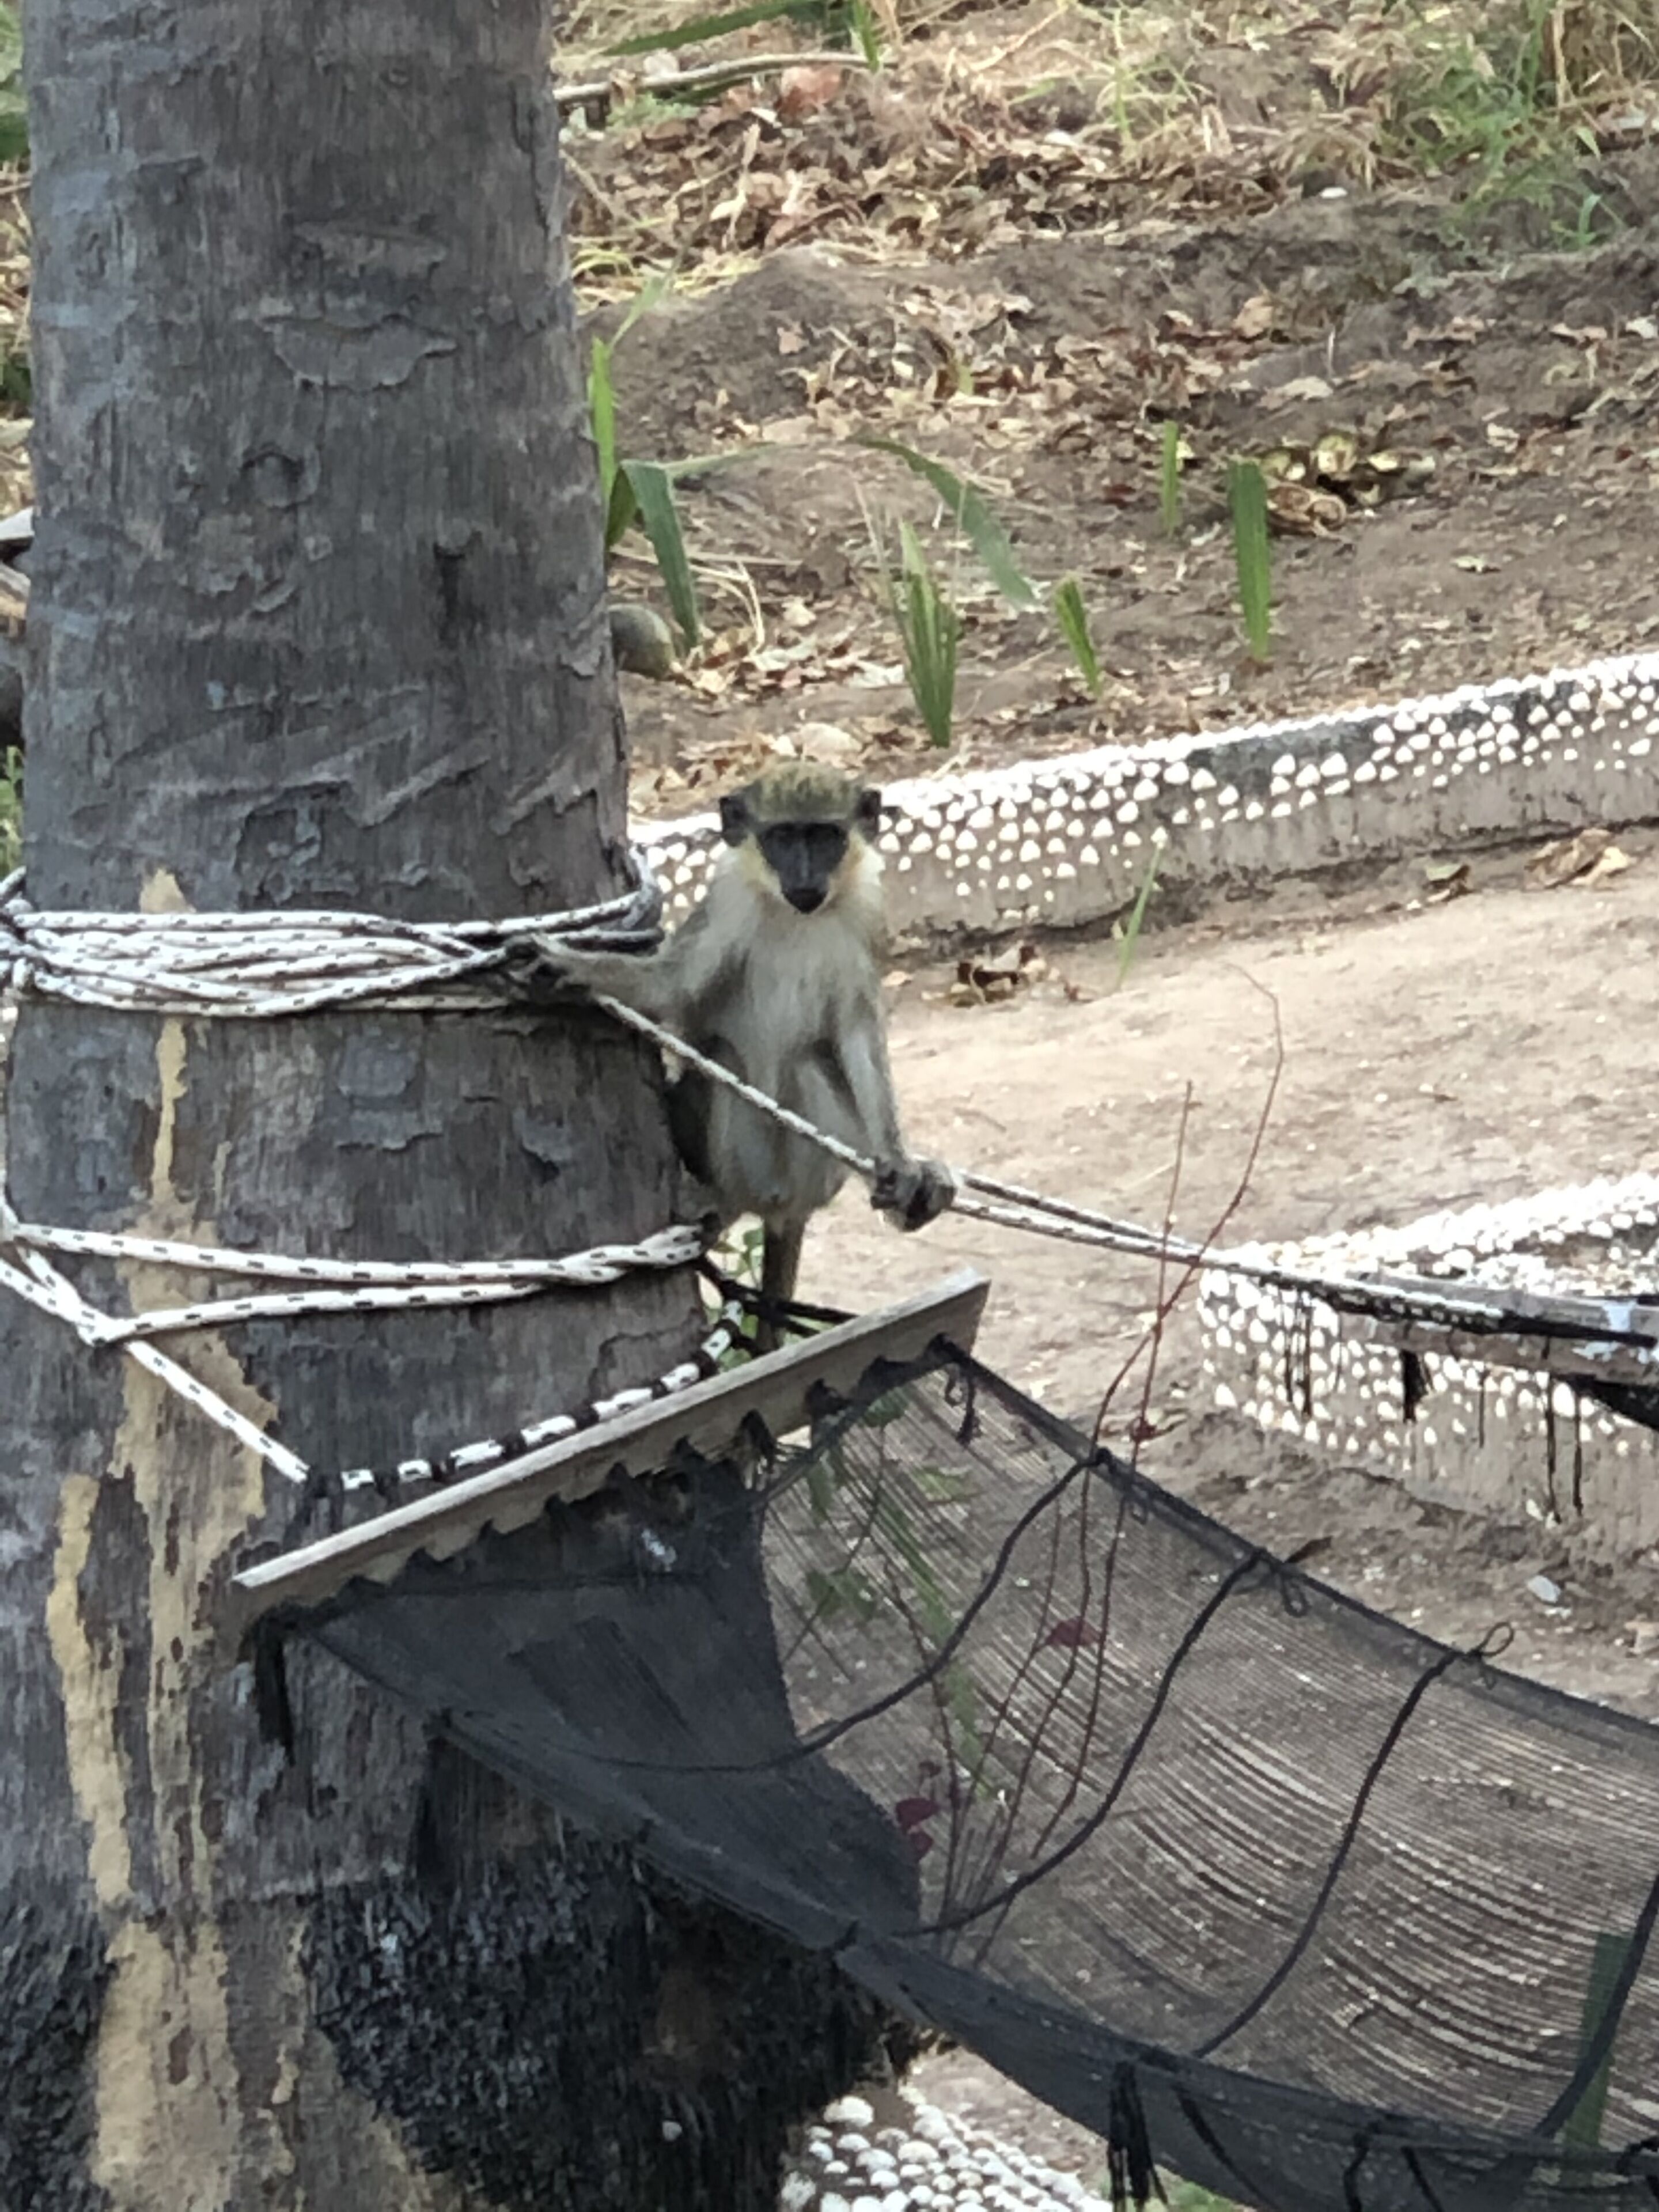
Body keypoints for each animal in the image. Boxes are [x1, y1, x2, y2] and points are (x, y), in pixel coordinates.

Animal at [536, 762, 955, 1340]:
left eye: (824, 838)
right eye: (782, 839)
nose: (805, 879)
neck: (793, 915)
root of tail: (779, 1207)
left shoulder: (867, 906)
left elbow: (856, 1032)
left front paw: (898, 1159)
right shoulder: (727, 898)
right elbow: (672, 987)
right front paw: (577, 966)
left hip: (814, 1174)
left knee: (808, 1063)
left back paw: (903, 1194)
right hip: (742, 1160)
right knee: (725, 1058)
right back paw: (716, 1199)